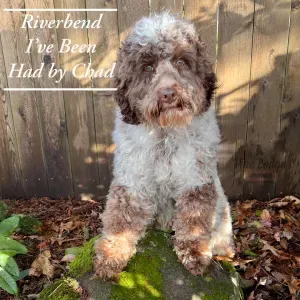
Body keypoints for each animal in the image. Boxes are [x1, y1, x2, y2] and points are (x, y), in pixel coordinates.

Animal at [94, 11, 234, 278]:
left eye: (181, 61)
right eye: (147, 67)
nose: (168, 94)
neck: (165, 133)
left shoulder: (196, 179)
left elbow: (194, 219)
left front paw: (194, 253)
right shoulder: (133, 180)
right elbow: (121, 219)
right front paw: (111, 255)